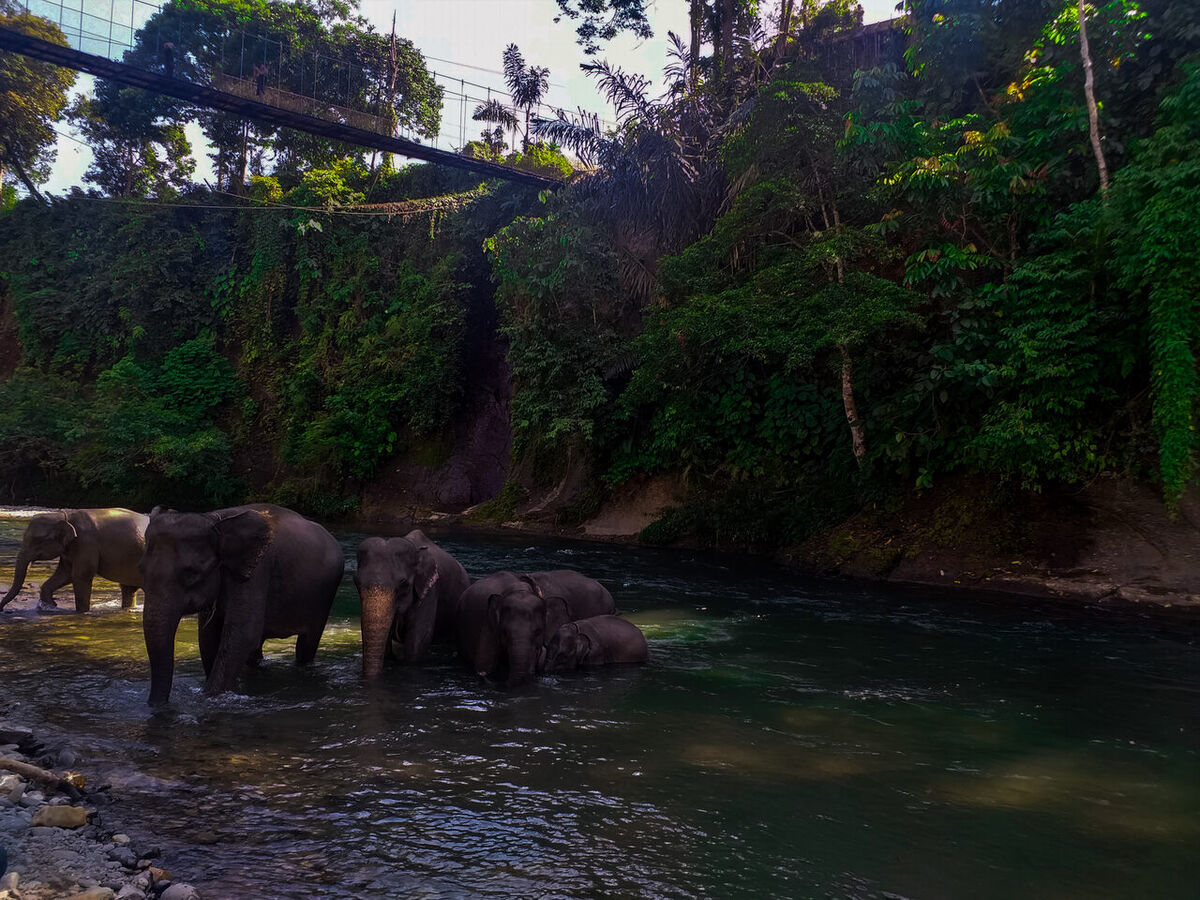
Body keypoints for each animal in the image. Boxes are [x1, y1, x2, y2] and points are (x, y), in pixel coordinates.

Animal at [1, 508, 148, 613]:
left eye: (36, 541)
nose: (2, 609)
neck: (64, 516)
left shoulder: (86, 543)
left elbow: (80, 575)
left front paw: (82, 612)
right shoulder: (70, 548)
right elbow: (65, 574)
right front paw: (51, 605)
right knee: (128, 589)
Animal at [139, 503, 345, 706]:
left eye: (191, 574)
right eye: (142, 571)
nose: (156, 706)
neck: (214, 519)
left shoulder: (258, 571)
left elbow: (243, 633)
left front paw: (209, 697)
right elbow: (208, 636)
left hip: (325, 595)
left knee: (306, 644)